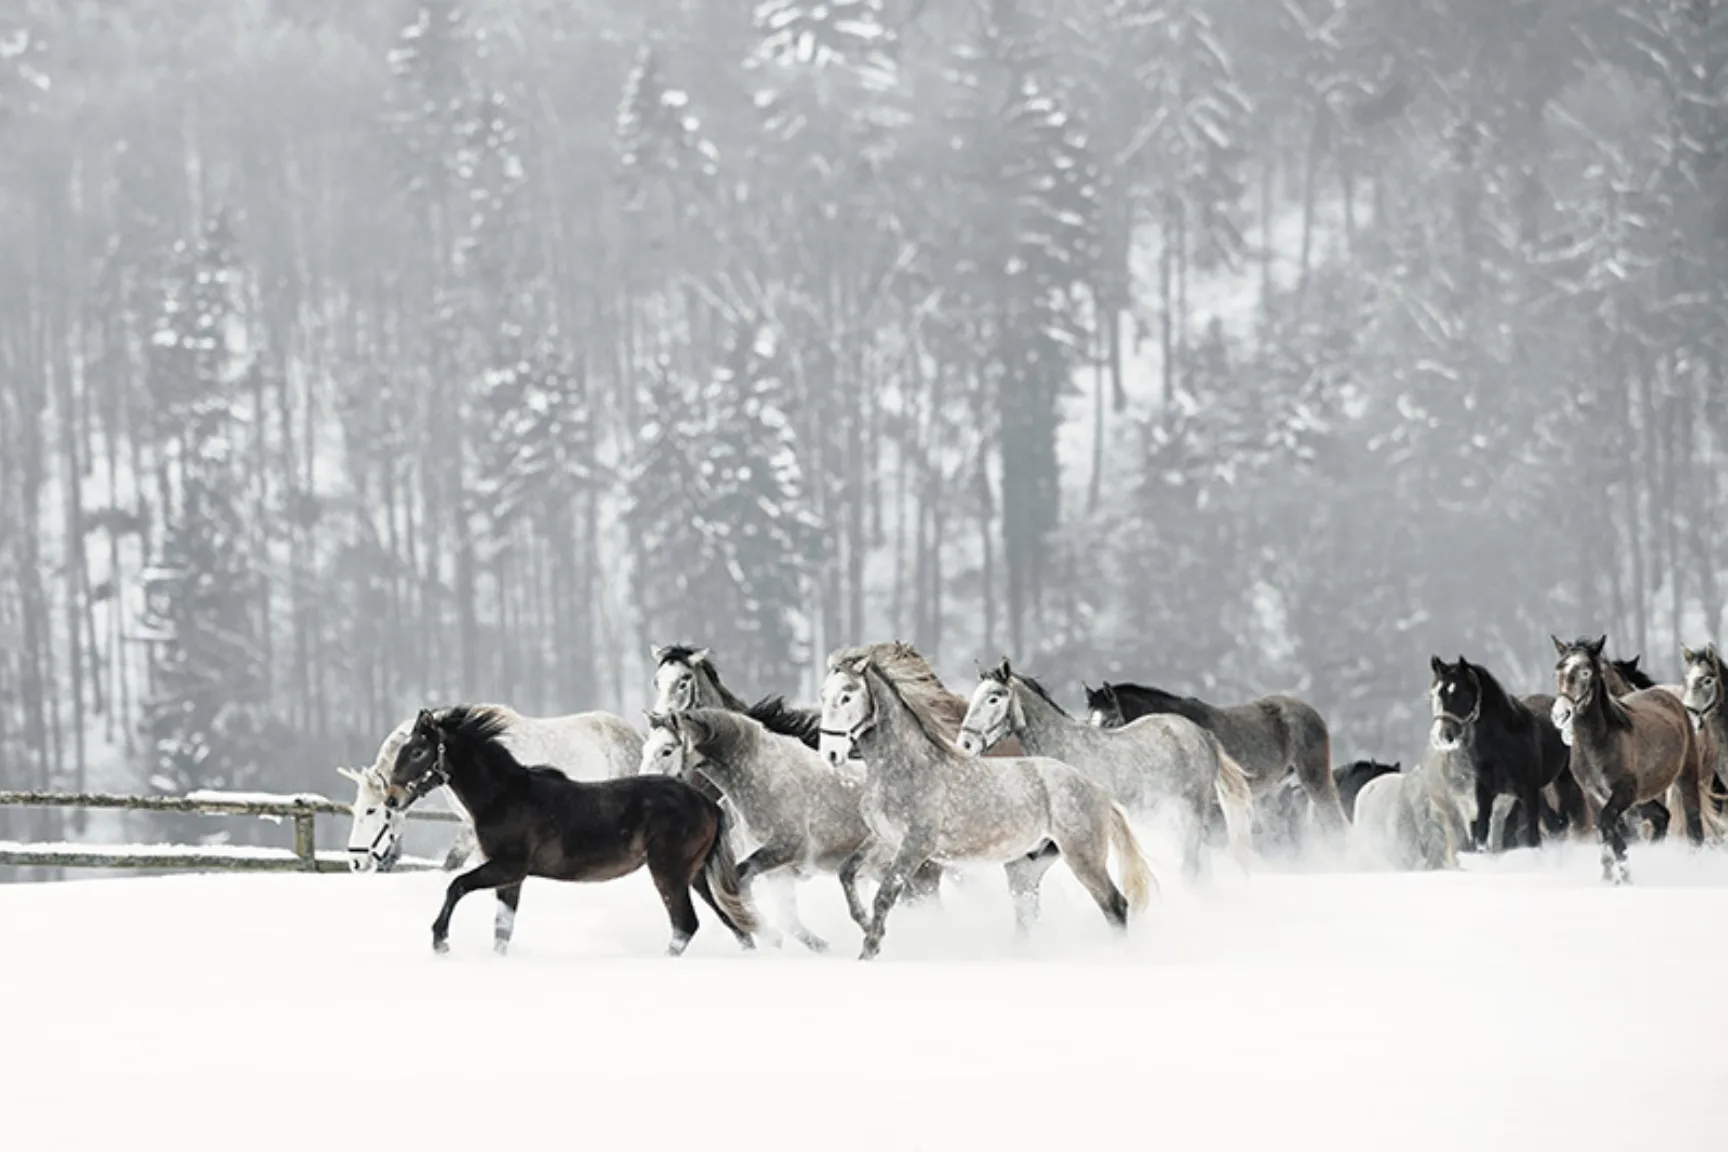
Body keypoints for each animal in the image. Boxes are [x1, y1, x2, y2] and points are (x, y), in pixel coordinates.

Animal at [385, 708, 763, 960]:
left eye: (418, 751)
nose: (392, 799)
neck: (504, 797)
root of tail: (707, 803)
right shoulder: (511, 878)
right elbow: (502, 929)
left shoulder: (508, 866)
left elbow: (456, 885)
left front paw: (440, 941)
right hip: (696, 874)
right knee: (733, 921)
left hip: (668, 872)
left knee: (686, 924)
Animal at [815, 649, 1154, 967]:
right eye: (823, 695)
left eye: (846, 695)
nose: (830, 753)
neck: (906, 767)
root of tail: (1097, 790)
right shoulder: (885, 839)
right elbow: (847, 872)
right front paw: (864, 925)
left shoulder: (915, 846)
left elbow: (885, 895)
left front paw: (869, 950)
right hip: (1026, 867)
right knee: (1028, 915)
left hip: (1083, 857)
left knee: (1115, 906)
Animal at [1555, 635, 1700, 891]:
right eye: (1558, 670)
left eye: (1585, 671)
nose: (1560, 715)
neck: (1600, 742)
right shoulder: (1594, 795)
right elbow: (1604, 829)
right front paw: (1609, 878)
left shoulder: (1623, 793)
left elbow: (1609, 825)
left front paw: (1625, 875)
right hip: (1642, 798)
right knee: (1661, 816)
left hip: (1685, 776)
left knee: (1693, 822)